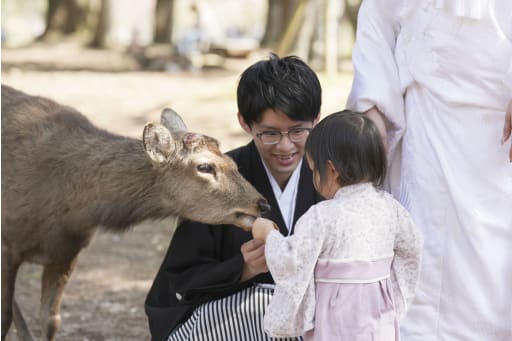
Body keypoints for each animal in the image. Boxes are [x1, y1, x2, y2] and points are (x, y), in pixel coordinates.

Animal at [1, 83, 272, 340]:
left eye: (232, 162)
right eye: (205, 167)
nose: (262, 203)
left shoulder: (67, 251)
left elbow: (51, 320)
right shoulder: (8, 246)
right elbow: (5, 317)